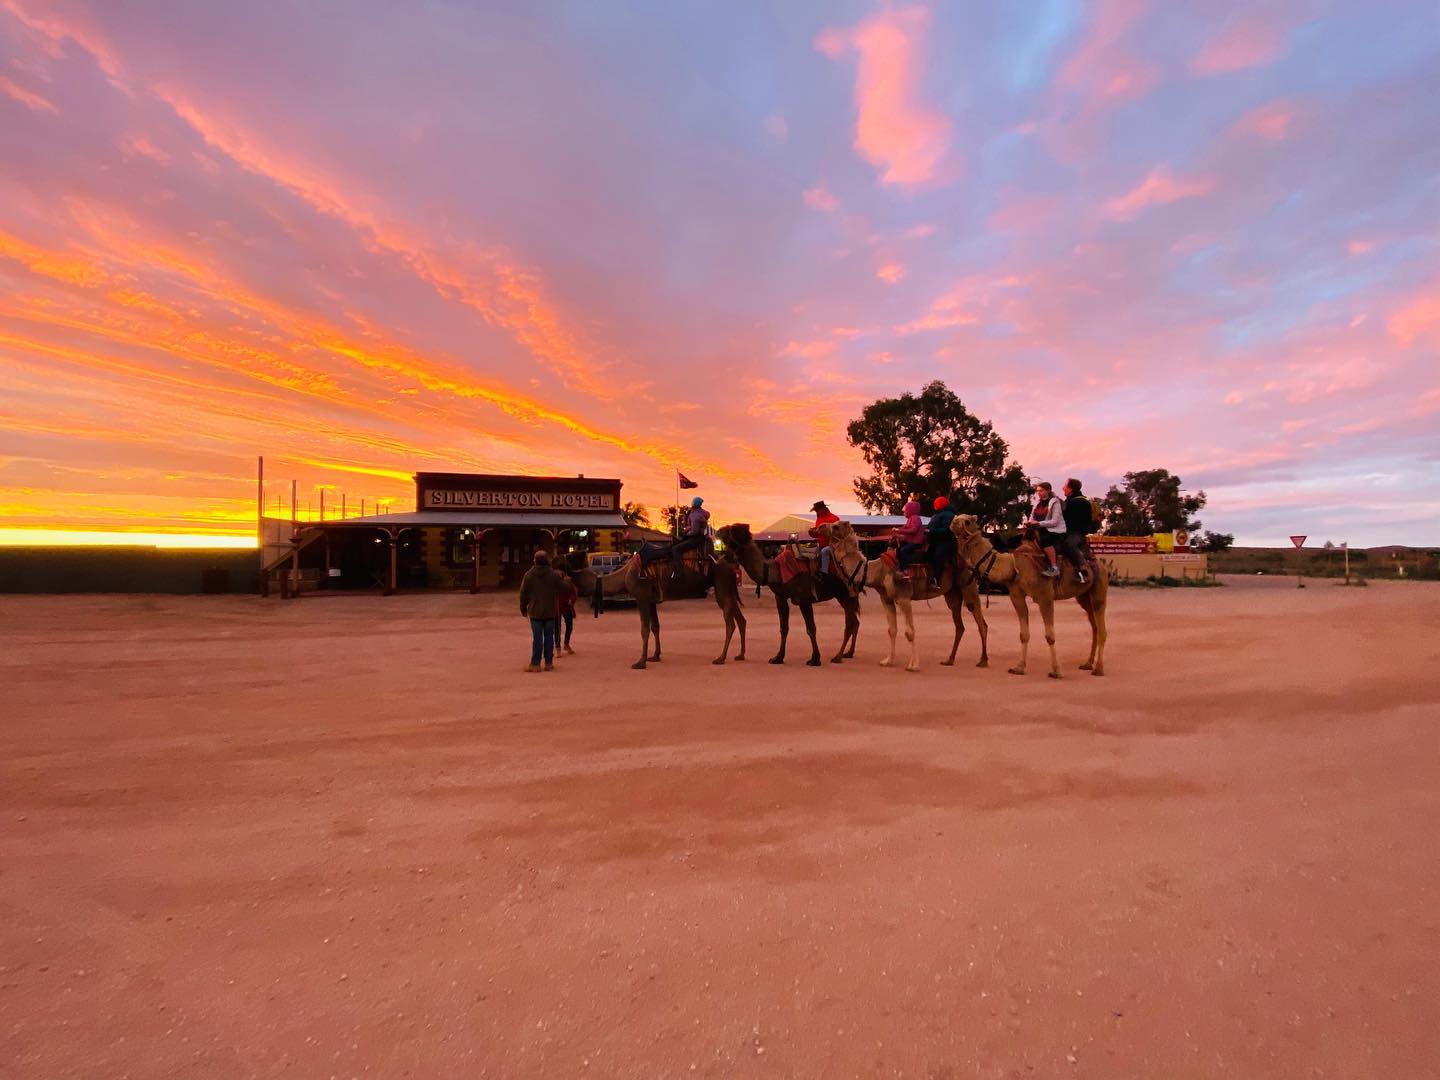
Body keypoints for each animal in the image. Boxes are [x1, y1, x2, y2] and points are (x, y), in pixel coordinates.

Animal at [564, 552, 748, 673]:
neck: (624, 574)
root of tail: (731, 568)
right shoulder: (651, 600)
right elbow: (655, 627)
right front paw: (655, 656)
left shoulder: (642, 596)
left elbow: (644, 629)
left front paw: (640, 662)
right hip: (728, 589)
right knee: (741, 620)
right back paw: (740, 655)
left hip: (721, 587)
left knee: (730, 623)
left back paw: (720, 658)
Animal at [714, 527, 858, 668]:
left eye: (731, 530)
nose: (718, 531)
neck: (776, 571)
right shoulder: (781, 597)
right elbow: (784, 628)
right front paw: (778, 658)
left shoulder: (804, 599)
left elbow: (811, 628)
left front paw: (815, 659)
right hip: (844, 596)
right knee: (854, 622)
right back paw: (848, 653)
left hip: (846, 594)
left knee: (850, 623)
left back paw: (838, 656)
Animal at [823, 521, 990, 673]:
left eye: (836, 526)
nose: (821, 527)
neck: (878, 571)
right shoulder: (886, 599)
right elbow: (892, 630)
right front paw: (888, 661)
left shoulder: (903, 597)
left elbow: (909, 632)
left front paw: (913, 665)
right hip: (952, 594)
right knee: (959, 625)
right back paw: (949, 660)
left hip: (968, 585)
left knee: (981, 622)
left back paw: (982, 661)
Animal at [950, 512, 1105, 676]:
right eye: (957, 517)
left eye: (967, 521)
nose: (953, 522)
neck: (1013, 565)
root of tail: (1099, 562)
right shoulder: (1016, 595)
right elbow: (1023, 634)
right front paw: (1018, 667)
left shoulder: (1045, 595)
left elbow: (1050, 636)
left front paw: (1056, 671)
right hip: (1084, 597)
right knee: (1094, 627)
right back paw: (1088, 664)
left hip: (1099, 588)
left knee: (1101, 627)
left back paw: (1098, 669)